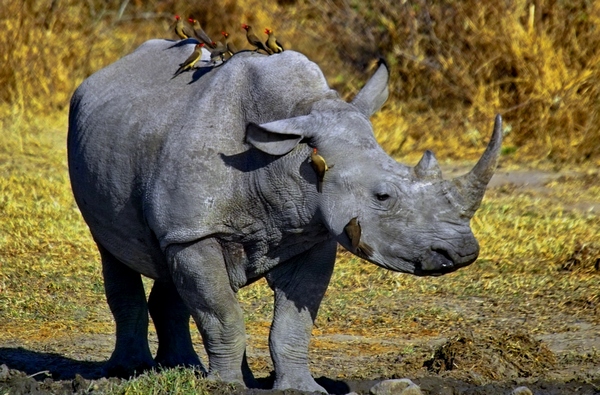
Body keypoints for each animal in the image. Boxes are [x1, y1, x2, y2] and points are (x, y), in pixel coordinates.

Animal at [68, 40, 502, 392]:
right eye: (382, 196)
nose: (462, 253)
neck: (291, 158)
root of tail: (106, 71)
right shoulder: (195, 233)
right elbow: (222, 314)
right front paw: (226, 388)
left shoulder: (313, 232)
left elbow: (293, 322)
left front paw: (299, 389)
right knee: (114, 252)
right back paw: (129, 371)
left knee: (169, 266)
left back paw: (185, 369)